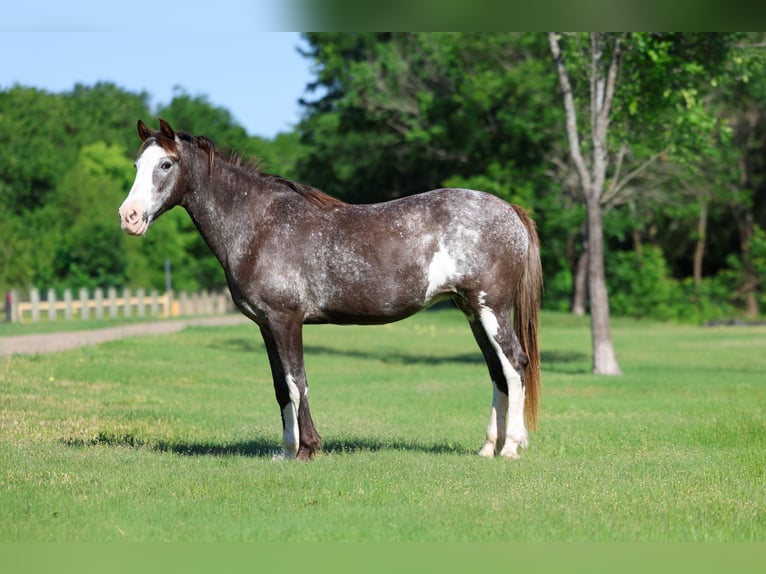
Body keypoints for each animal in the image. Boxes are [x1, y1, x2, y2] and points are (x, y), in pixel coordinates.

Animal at [119, 119, 542, 460]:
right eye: (137, 165)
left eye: (166, 164)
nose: (129, 217)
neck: (259, 225)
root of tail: (510, 210)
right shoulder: (266, 325)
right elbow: (280, 386)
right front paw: (286, 450)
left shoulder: (286, 320)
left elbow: (296, 381)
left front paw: (308, 448)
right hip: (472, 312)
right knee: (496, 372)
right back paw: (487, 447)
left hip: (492, 310)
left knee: (514, 364)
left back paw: (510, 448)